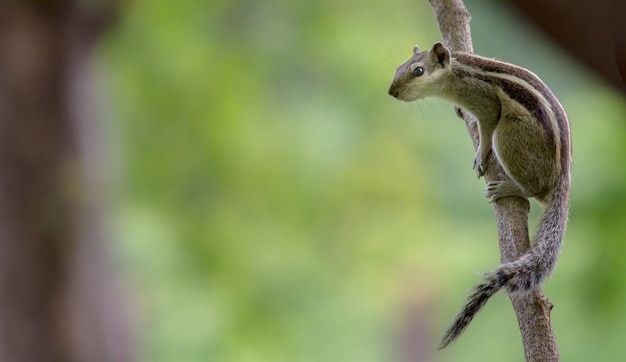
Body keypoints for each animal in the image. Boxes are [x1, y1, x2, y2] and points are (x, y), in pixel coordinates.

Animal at [388, 42, 568, 348]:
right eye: (399, 66)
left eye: (418, 71)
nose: (392, 92)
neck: (455, 72)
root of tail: (562, 177)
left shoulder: (485, 104)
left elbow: (486, 126)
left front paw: (481, 154)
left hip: (510, 132)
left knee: (532, 188)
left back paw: (508, 187)